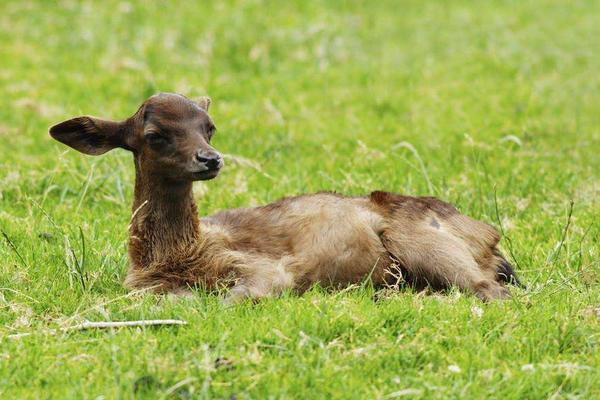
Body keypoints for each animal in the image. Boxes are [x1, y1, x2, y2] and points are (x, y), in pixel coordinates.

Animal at [50, 93, 520, 304]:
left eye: (208, 127)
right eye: (154, 134)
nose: (210, 159)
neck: (182, 254)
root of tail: (490, 236)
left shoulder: (263, 266)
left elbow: (235, 297)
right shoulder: (140, 286)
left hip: (427, 239)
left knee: (491, 289)